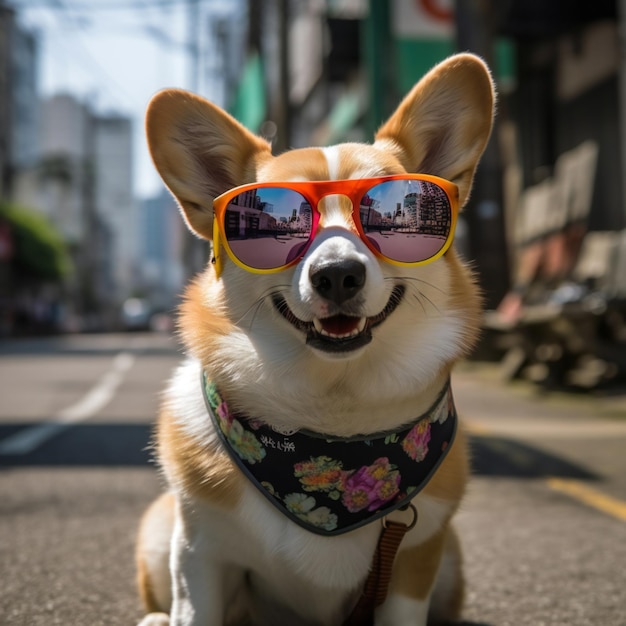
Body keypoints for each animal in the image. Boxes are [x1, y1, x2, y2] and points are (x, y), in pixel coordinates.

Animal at [135, 53, 492, 624]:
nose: (338, 275)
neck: (331, 424)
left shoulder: (416, 557)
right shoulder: (199, 553)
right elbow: (195, 609)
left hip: (452, 557)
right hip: (158, 527)